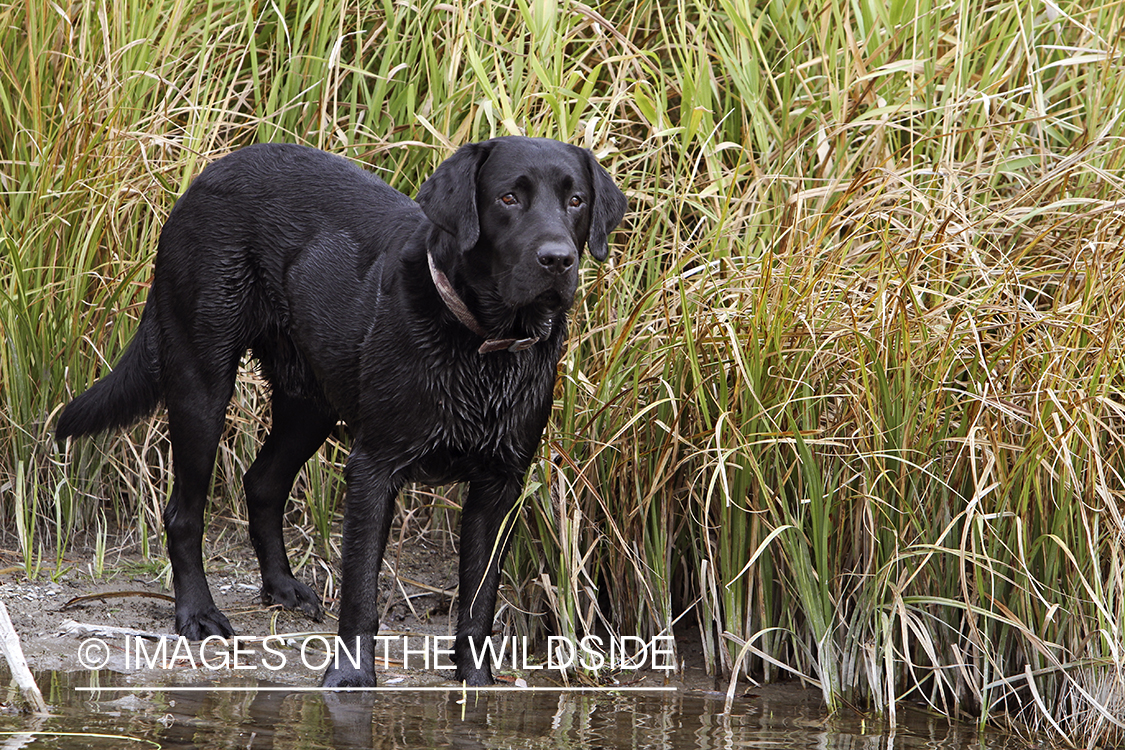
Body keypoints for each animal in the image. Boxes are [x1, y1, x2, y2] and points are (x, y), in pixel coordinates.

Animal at [57, 136, 630, 688]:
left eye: (576, 200)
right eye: (509, 198)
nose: (558, 259)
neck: (483, 347)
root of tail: (204, 178)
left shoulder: (501, 485)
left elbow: (478, 601)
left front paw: (477, 683)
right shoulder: (373, 469)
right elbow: (360, 590)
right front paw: (351, 677)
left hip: (310, 403)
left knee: (262, 482)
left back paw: (282, 587)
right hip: (201, 381)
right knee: (183, 512)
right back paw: (198, 614)